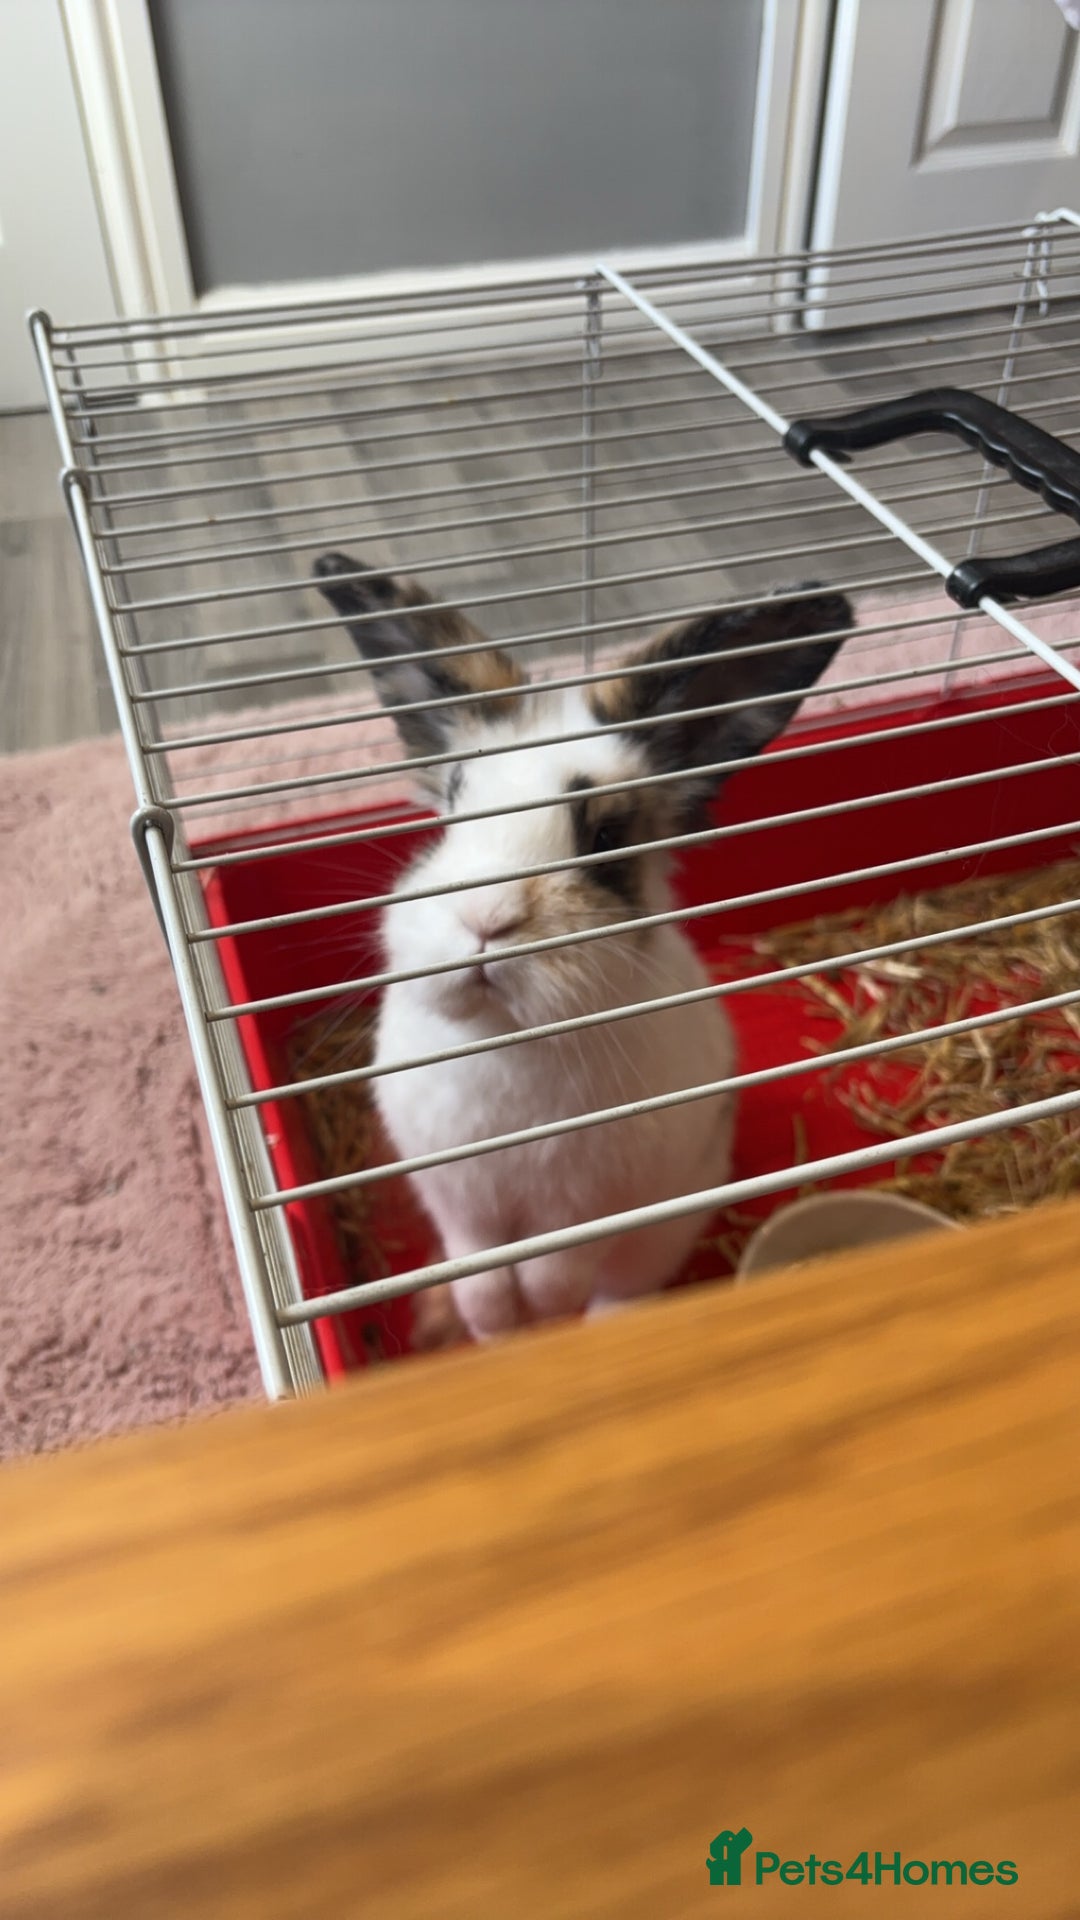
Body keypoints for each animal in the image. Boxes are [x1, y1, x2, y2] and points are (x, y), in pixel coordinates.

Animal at [313, 551, 850, 1340]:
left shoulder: (588, 1206)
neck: (507, 1037)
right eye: (452, 808)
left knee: (622, 1290)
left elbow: (557, 1267)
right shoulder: (456, 1195)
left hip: (661, 1234)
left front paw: (541, 1308)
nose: (486, 918)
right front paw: (494, 1321)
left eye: (604, 837)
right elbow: (477, 1261)